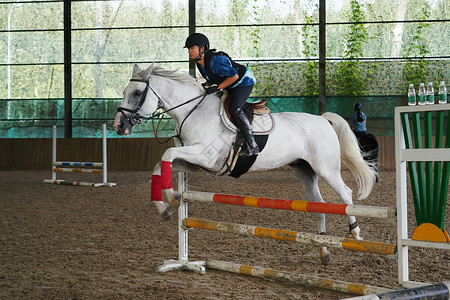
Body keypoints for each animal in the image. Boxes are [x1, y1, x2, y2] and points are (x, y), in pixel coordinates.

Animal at [113, 63, 376, 264]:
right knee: (318, 205)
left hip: (326, 169)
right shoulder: (194, 162)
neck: (192, 111)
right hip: (305, 172)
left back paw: (356, 234)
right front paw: (165, 208)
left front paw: (172, 196)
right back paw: (324, 250)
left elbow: (167, 154)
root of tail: (322, 119)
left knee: (346, 194)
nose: (119, 125)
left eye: (137, 92)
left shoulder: (203, 156)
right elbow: (160, 164)